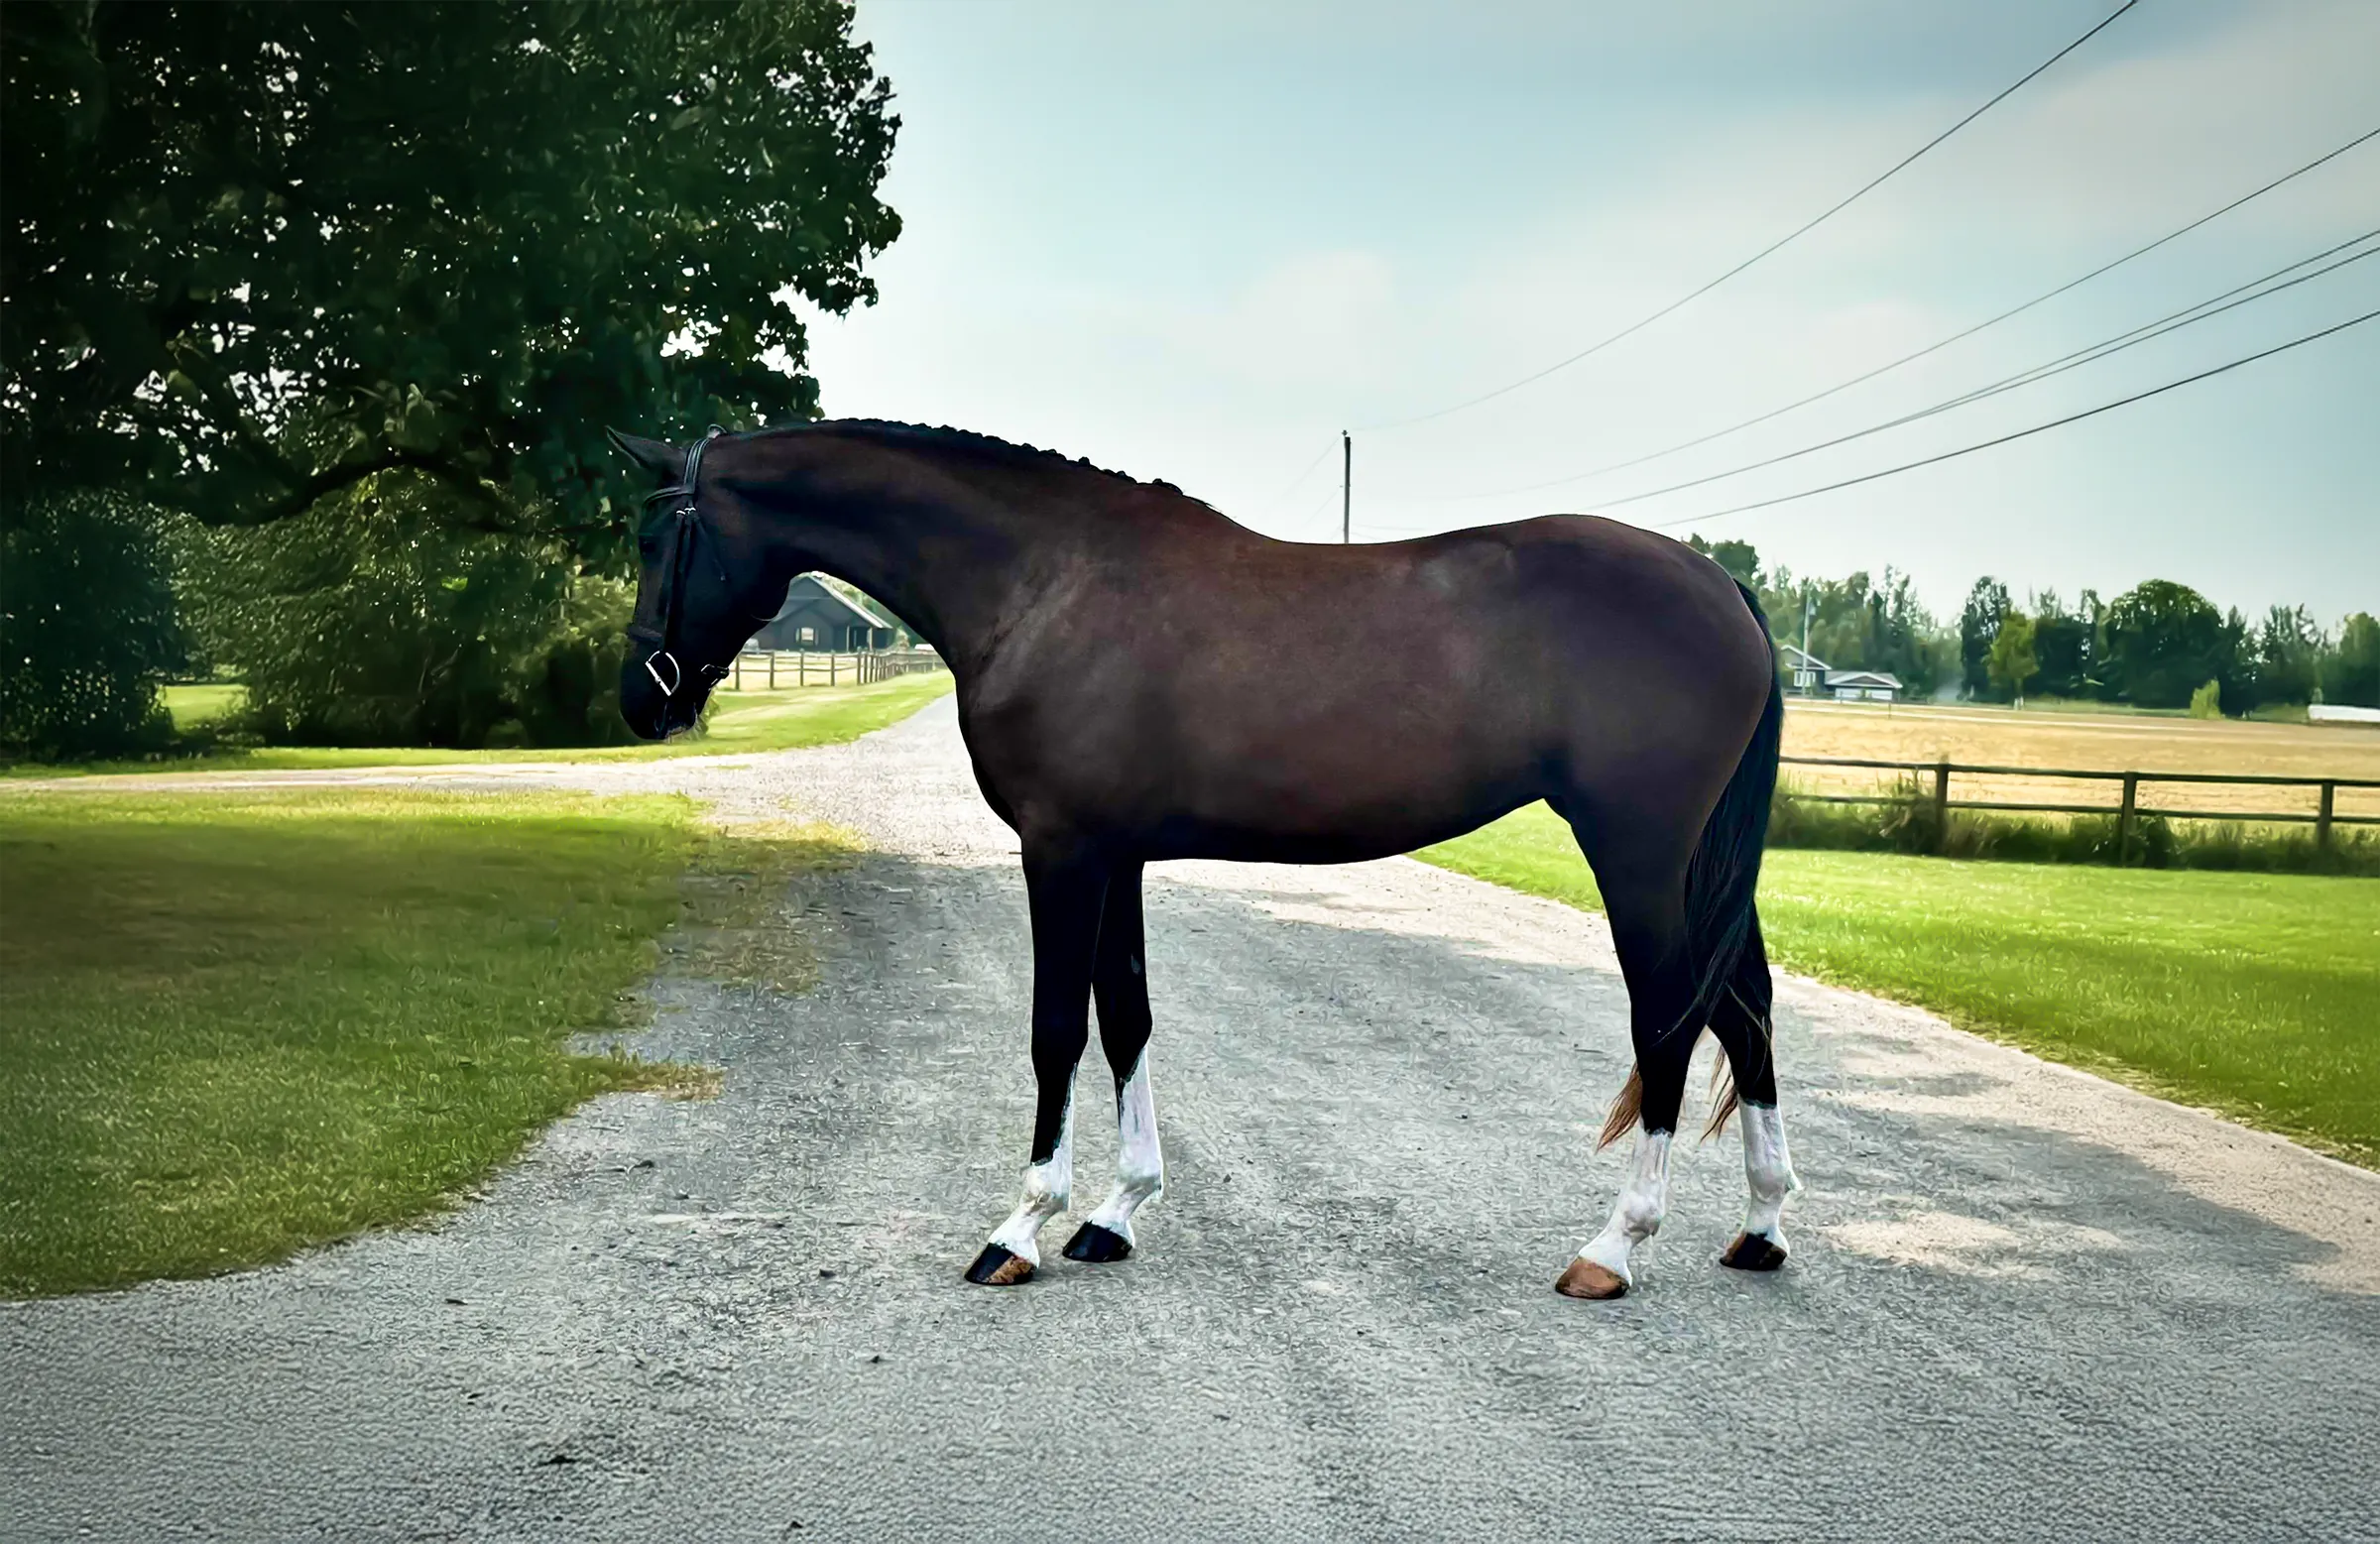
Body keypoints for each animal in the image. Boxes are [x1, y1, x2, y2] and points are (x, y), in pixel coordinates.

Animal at [609, 419, 1798, 1300]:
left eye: (655, 543)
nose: (637, 700)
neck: (1045, 582)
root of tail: (1719, 587)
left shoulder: (1062, 851)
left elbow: (1056, 1030)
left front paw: (1020, 1228)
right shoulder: (1116, 856)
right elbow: (1127, 1018)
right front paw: (1114, 1213)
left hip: (1638, 852)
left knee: (1670, 1018)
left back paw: (1614, 1247)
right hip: (1696, 863)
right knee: (1747, 1004)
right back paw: (1761, 1228)